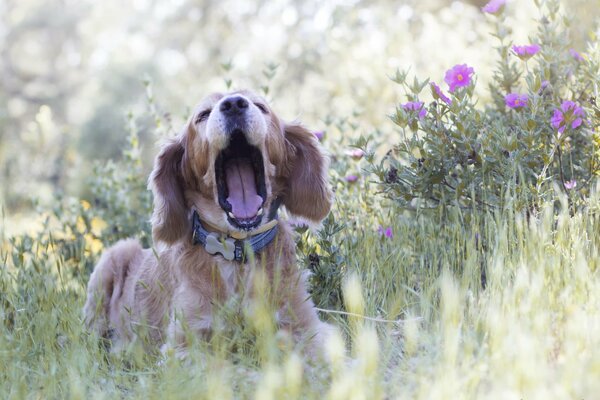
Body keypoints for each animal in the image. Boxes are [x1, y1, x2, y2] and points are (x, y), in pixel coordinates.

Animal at [82, 90, 336, 356]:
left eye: (260, 106)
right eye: (203, 115)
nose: (234, 104)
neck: (237, 254)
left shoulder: (305, 325)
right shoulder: (186, 341)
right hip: (112, 260)